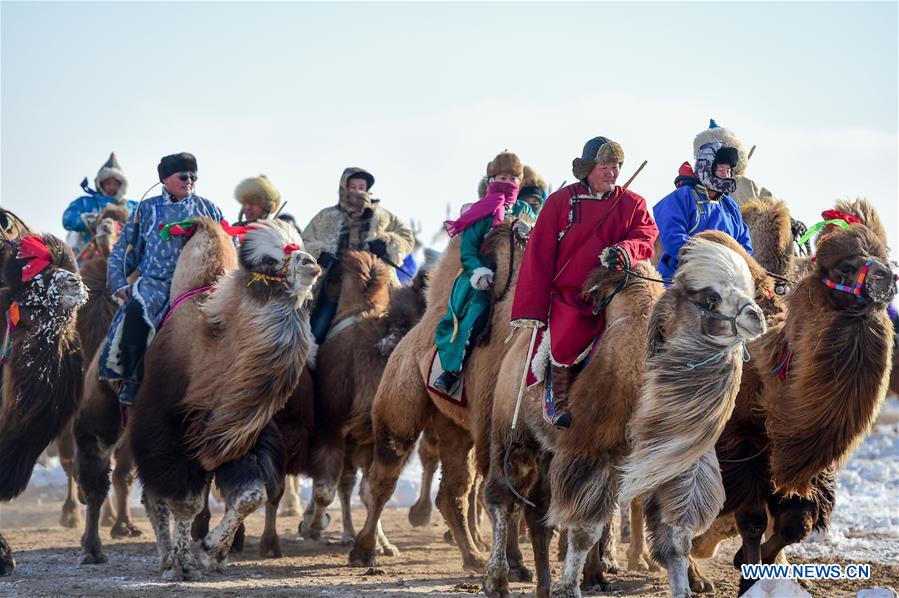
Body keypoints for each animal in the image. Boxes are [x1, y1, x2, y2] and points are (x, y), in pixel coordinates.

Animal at [130, 220, 320, 580]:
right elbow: (185, 501)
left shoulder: (242, 439)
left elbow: (251, 496)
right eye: (269, 262)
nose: (311, 263)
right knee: (154, 496)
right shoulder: (168, 434)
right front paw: (183, 564)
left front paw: (212, 551)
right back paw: (165, 558)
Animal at [348, 218, 532, 576]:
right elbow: (507, 492)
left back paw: (472, 556)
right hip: (400, 405)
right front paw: (516, 564)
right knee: (383, 477)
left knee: (452, 492)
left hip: (452, 424)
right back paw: (364, 551)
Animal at [486, 258, 668, 598]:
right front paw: (569, 587)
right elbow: (584, 529)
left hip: (549, 453)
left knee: (538, 516)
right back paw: (497, 580)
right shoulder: (590, 451)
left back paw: (547, 584)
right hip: (515, 438)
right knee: (503, 498)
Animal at [688, 209, 892, 596]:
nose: (886, 279)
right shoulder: (740, 445)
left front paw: (748, 565)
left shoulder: (802, 465)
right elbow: (752, 519)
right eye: (844, 267)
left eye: (886, 258)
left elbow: (796, 524)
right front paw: (747, 577)